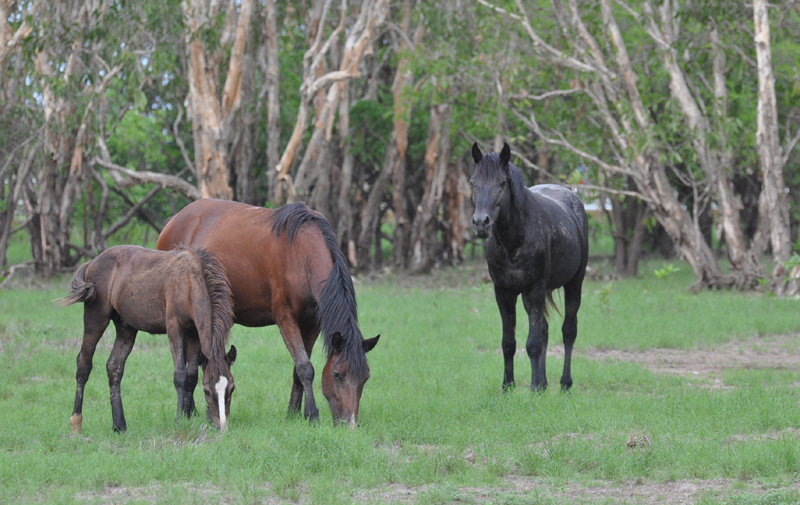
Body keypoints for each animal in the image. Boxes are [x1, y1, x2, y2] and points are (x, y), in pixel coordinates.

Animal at [60, 245, 237, 433]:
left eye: (232, 388)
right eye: (207, 391)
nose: (222, 426)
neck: (188, 283)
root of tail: (92, 262)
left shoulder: (194, 333)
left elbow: (191, 376)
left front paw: (188, 416)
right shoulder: (174, 328)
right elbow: (180, 375)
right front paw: (180, 420)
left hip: (126, 327)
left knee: (114, 367)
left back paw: (119, 425)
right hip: (96, 318)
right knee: (84, 364)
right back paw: (76, 422)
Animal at [156, 199, 380, 427]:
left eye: (366, 377)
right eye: (337, 375)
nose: (350, 424)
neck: (302, 252)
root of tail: (174, 220)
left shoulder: (312, 323)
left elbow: (298, 369)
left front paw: (293, 413)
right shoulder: (285, 318)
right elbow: (305, 368)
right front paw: (312, 414)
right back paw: (189, 411)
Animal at [470, 143, 588, 392]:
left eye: (502, 183)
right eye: (473, 182)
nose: (480, 223)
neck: (514, 242)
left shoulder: (535, 289)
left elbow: (533, 342)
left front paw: (533, 388)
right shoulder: (504, 293)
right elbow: (509, 342)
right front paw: (508, 386)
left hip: (575, 282)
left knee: (568, 330)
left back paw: (565, 383)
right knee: (544, 329)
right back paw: (543, 383)